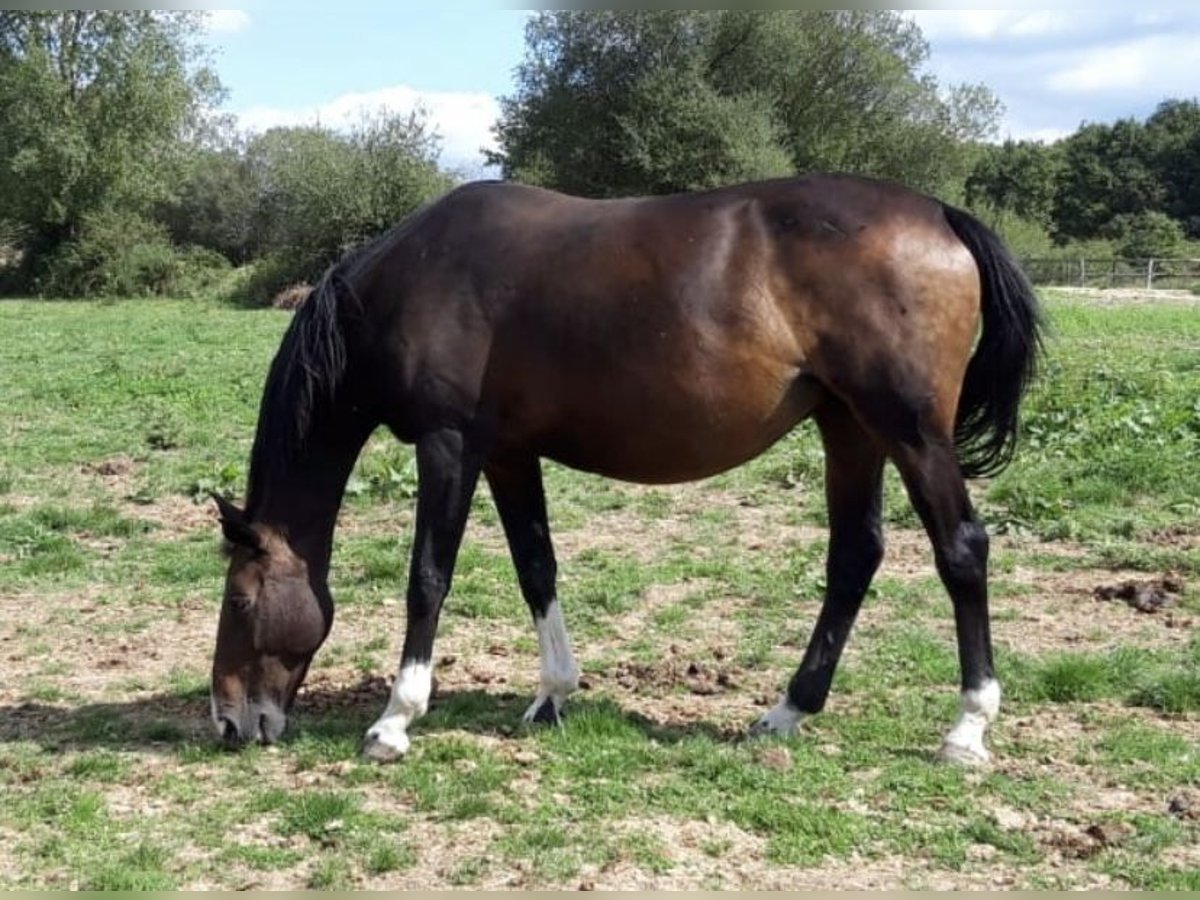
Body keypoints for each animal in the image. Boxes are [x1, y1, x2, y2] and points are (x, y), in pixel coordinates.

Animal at [213, 174, 1041, 768]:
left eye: (243, 599)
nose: (230, 721)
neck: (414, 279)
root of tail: (941, 215)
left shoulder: (449, 445)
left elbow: (428, 578)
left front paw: (395, 720)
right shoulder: (507, 453)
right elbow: (536, 568)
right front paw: (552, 695)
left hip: (909, 430)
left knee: (961, 551)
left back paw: (967, 728)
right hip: (849, 428)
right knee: (853, 557)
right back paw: (787, 712)